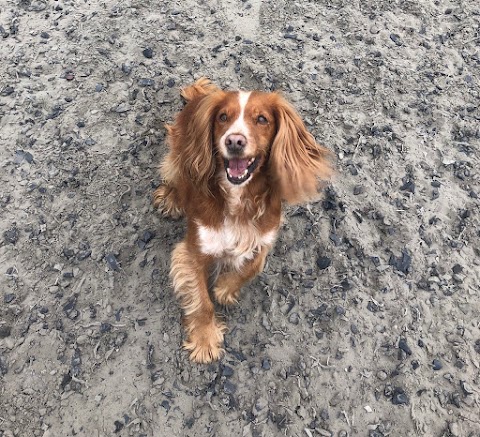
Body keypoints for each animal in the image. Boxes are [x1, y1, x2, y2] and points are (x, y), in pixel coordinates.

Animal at [155, 77, 334, 362]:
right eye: (223, 117)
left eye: (262, 119)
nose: (234, 141)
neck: (238, 198)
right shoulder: (193, 250)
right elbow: (201, 301)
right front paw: (205, 340)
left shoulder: (264, 237)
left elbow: (253, 266)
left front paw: (225, 288)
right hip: (177, 155)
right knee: (176, 177)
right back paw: (170, 199)